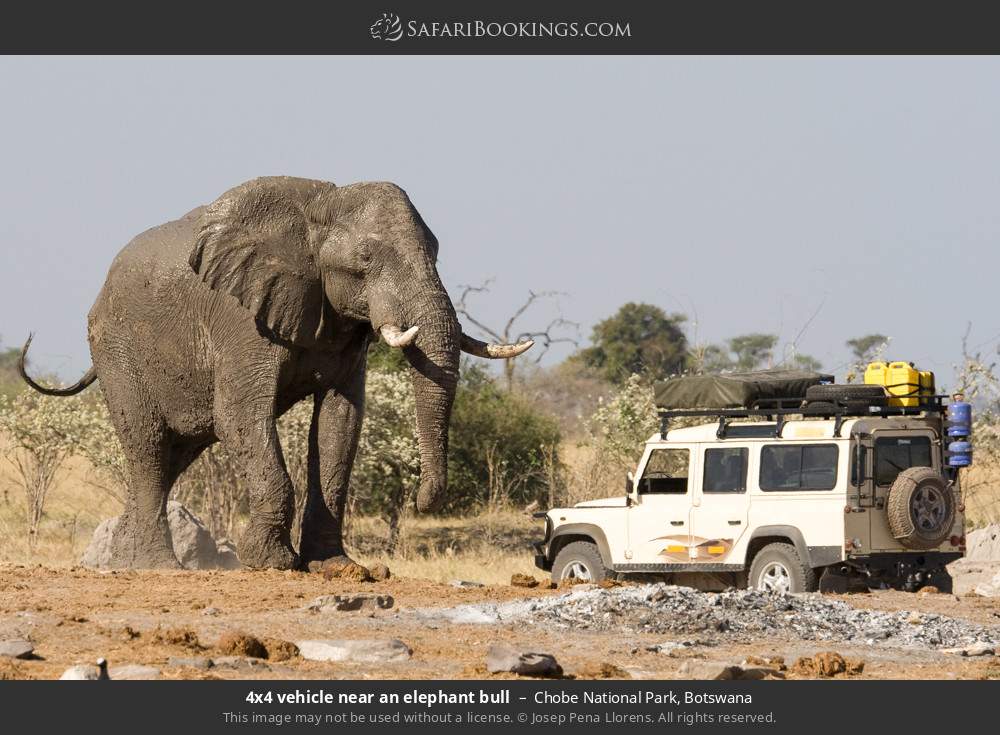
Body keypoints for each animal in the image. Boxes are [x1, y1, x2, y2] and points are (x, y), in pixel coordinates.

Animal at [19, 177, 532, 568]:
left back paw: (121, 560)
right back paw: (154, 566)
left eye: (437, 253)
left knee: (173, 455)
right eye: (366, 259)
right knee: (148, 445)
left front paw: (333, 566)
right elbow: (240, 417)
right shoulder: (239, 316)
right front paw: (271, 563)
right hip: (117, 349)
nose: (424, 501)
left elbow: (340, 424)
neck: (319, 208)